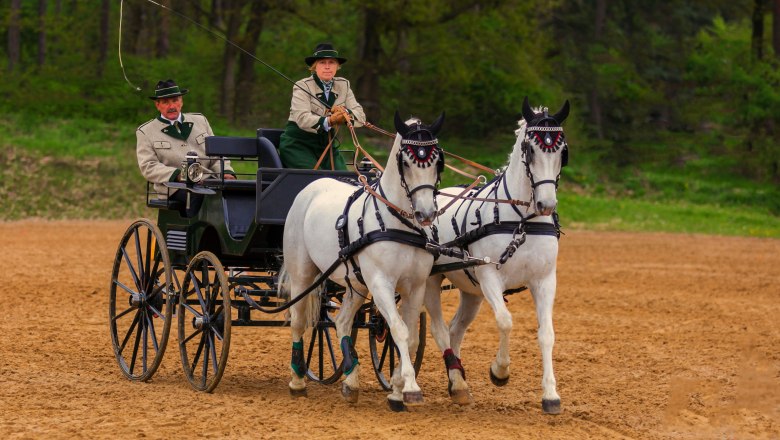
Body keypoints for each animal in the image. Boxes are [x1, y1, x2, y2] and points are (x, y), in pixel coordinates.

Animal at [282, 111, 444, 410]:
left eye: (438, 160)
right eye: (406, 162)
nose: (426, 214)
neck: (399, 224)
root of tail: (312, 185)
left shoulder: (415, 286)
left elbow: (410, 337)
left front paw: (396, 390)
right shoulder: (381, 283)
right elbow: (399, 330)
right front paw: (410, 388)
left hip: (355, 283)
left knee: (342, 322)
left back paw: (351, 380)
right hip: (302, 273)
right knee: (298, 321)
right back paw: (298, 380)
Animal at [424, 98, 568, 414]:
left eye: (562, 151)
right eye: (530, 149)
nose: (546, 204)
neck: (522, 221)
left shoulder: (545, 280)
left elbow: (547, 334)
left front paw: (551, 395)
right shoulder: (490, 274)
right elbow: (505, 321)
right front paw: (500, 372)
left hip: (471, 290)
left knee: (455, 329)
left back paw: (457, 382)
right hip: (427, 281)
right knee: (439, 329)